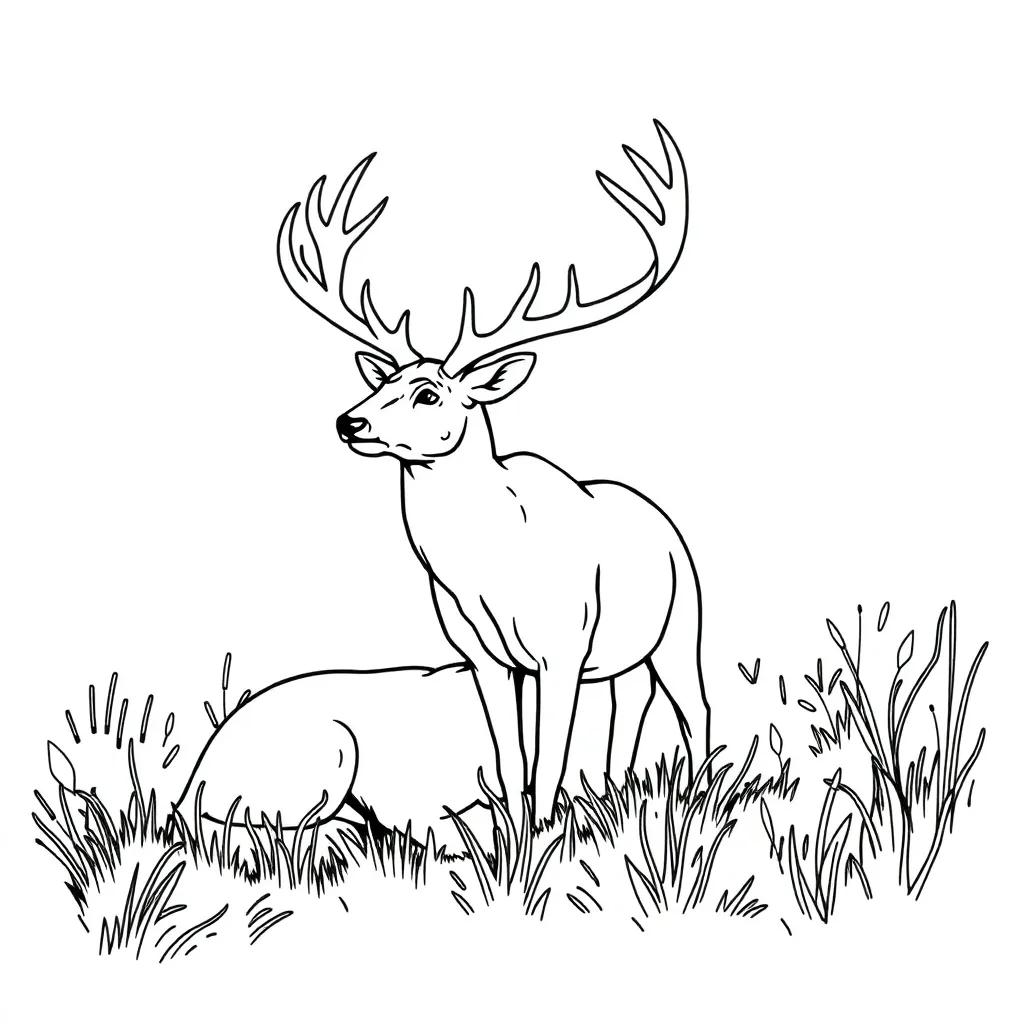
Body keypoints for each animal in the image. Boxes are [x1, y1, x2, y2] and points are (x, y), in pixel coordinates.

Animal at [277, 120, 708, 828]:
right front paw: (515, 835)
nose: (348, 422)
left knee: (693, 707)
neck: (488, 570)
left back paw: (697, 799)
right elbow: (512, 761)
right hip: (625, 653)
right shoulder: (482, 653)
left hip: (681, 624)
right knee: (630, 702)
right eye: (385, 380)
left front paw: (542, 842)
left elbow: (550, 760)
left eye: (429, 393)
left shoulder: (562, 647)